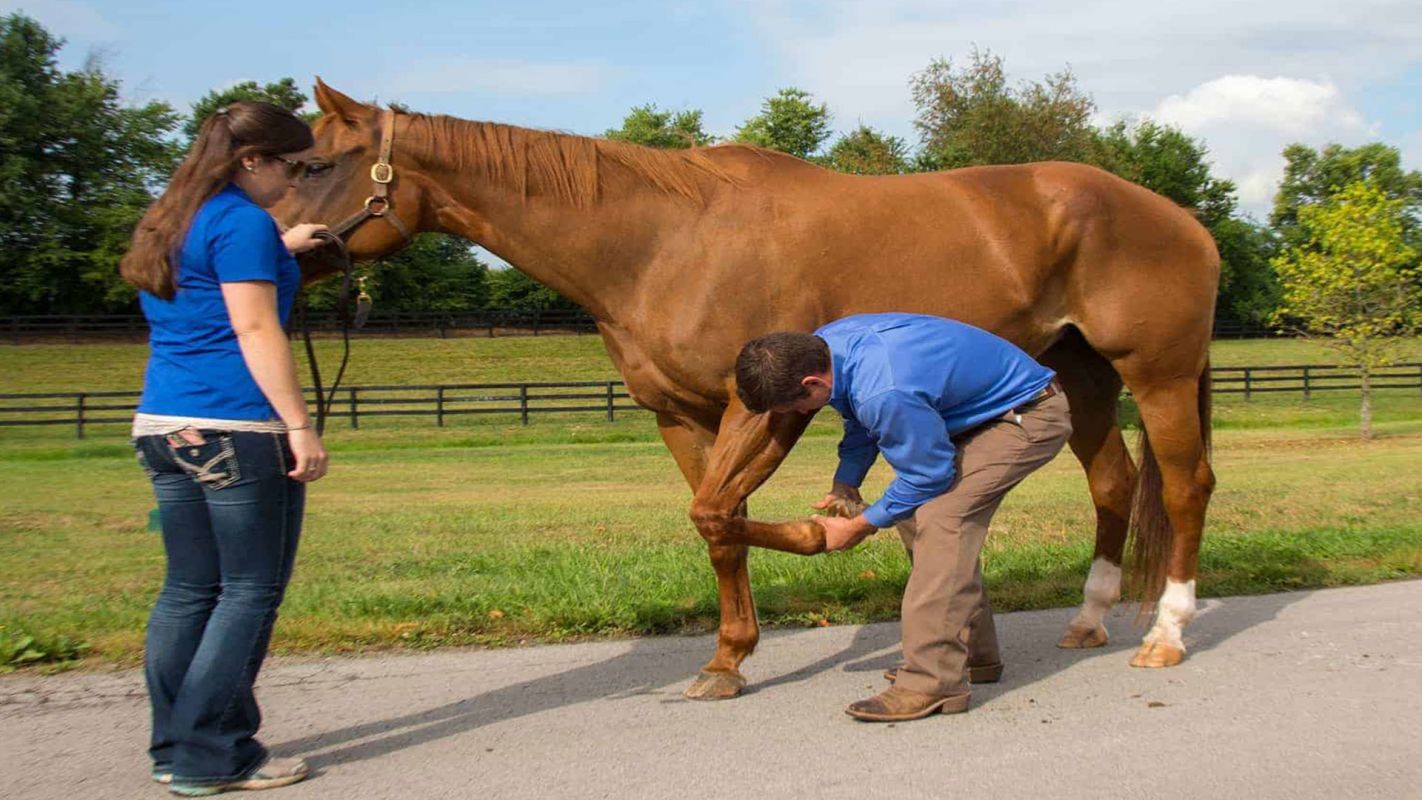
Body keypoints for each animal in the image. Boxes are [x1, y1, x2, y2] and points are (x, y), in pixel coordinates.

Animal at [280, 79, 1222, 701]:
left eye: (315, 163)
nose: (272, 255)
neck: (662, 241)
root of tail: (1181, 217)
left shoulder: (765, 408)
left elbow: (719, 516)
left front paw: (802, 556)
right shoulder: (681, 417)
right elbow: (718, 528)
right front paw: (727, 660)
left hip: (1159, 375)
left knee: (1184, 487)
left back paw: (1167, 634)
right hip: (1083, 377)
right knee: (1114, 484)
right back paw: (1091, 620)